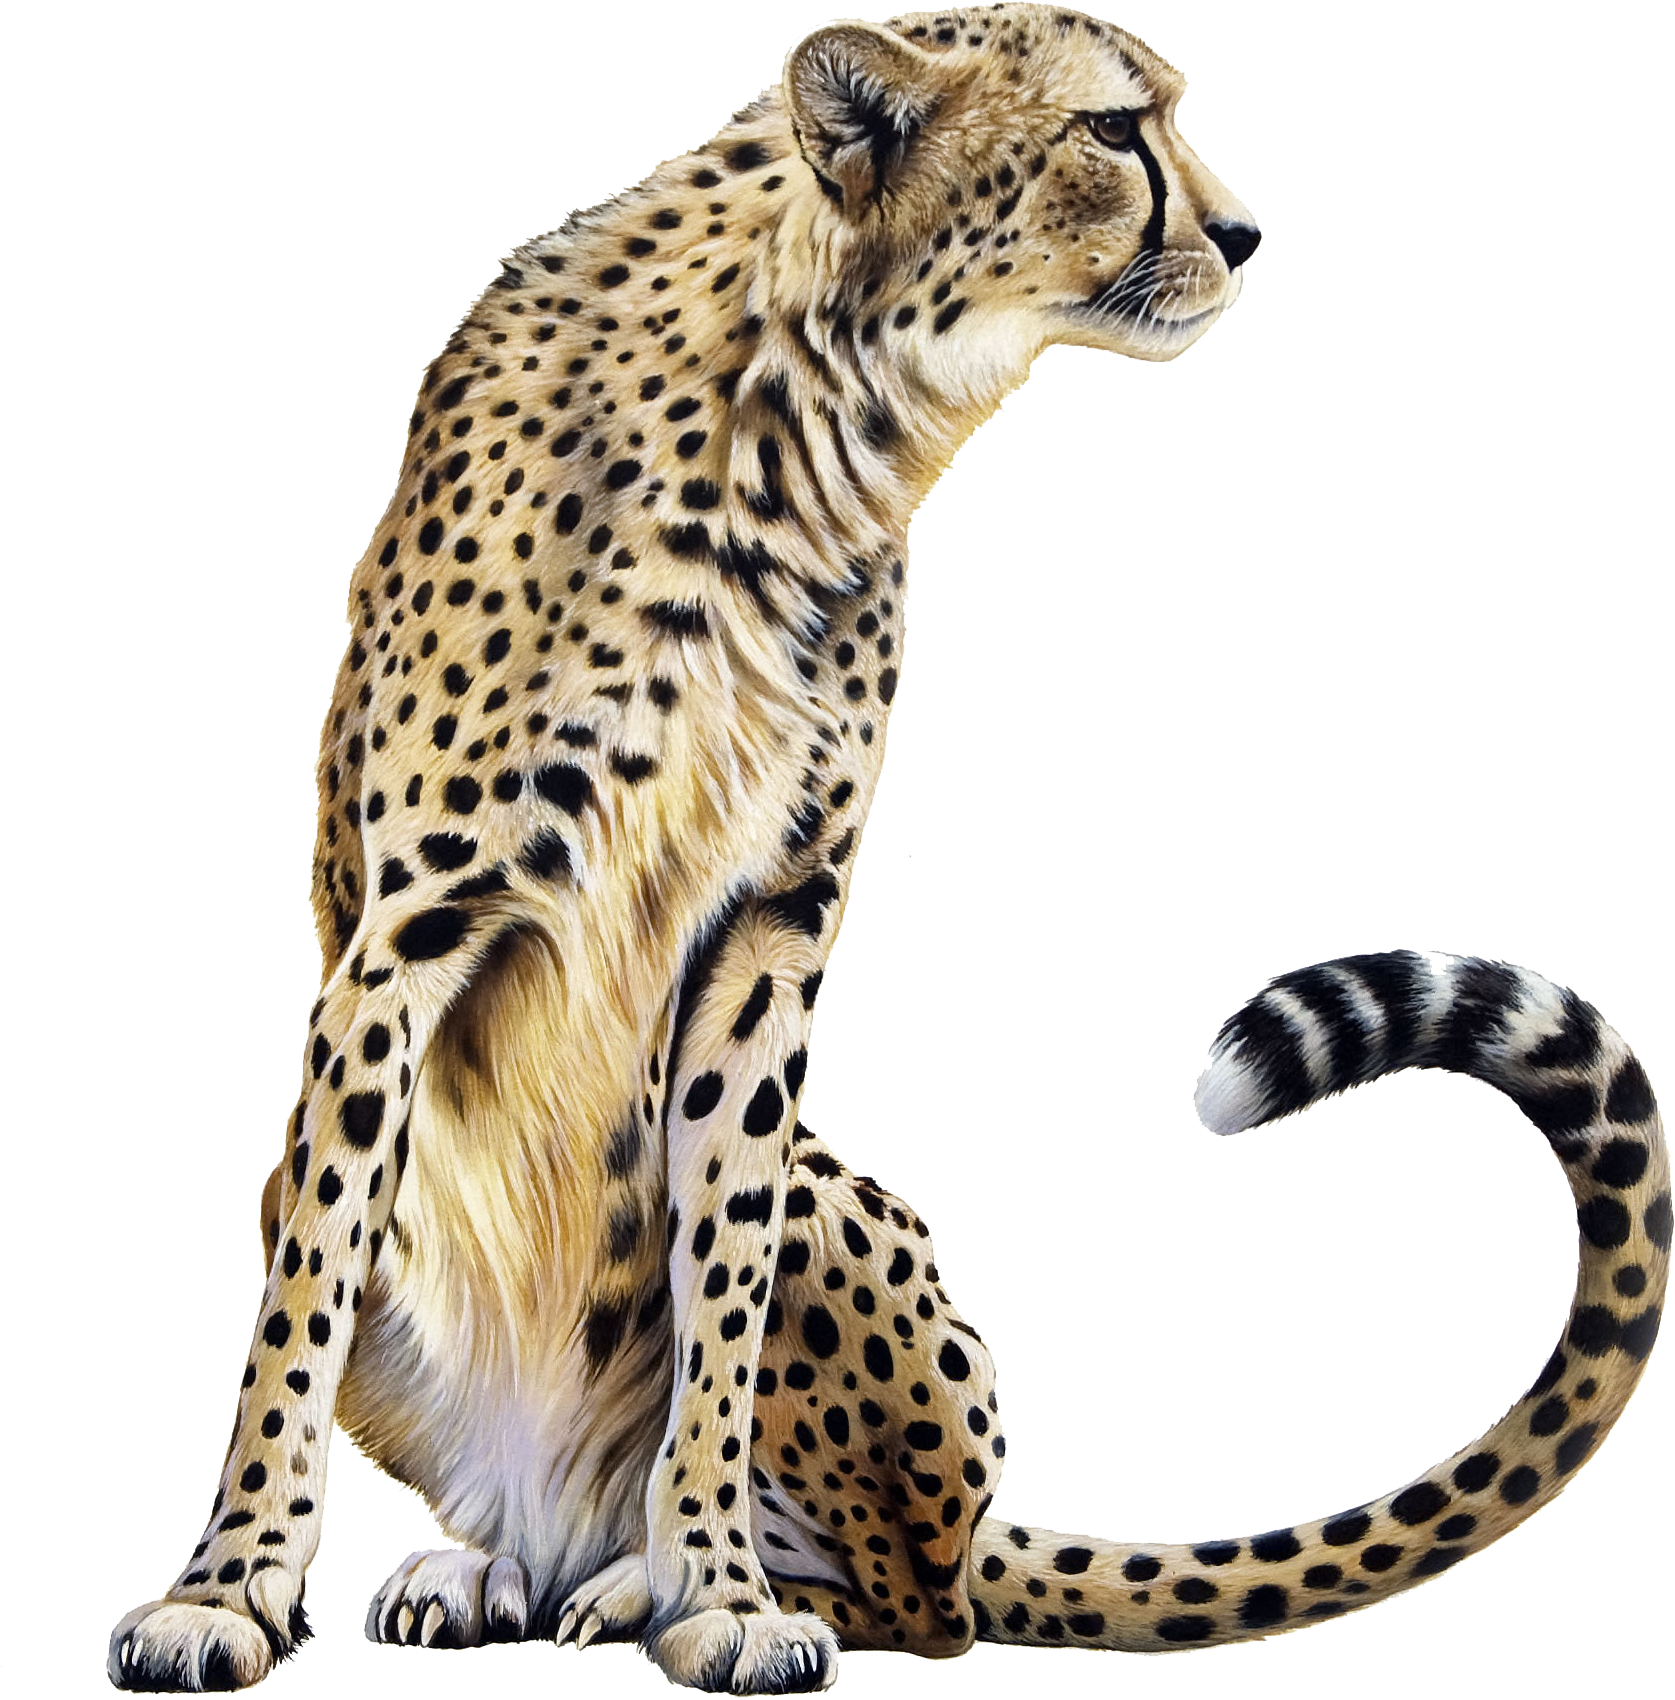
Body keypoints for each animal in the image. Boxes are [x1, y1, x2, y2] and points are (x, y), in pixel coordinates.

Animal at [108, 5, 1667, 1694]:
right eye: (1112, 130)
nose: (1247, 234)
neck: (798, 424)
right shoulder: (403, 938)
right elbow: (303, 1299)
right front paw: (228, 1589)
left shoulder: (768, 933)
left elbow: (718, 1286)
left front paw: (718, 1590)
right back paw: (491, 1572)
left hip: (851, 1262)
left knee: (929, 1601)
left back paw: (641, 1585)